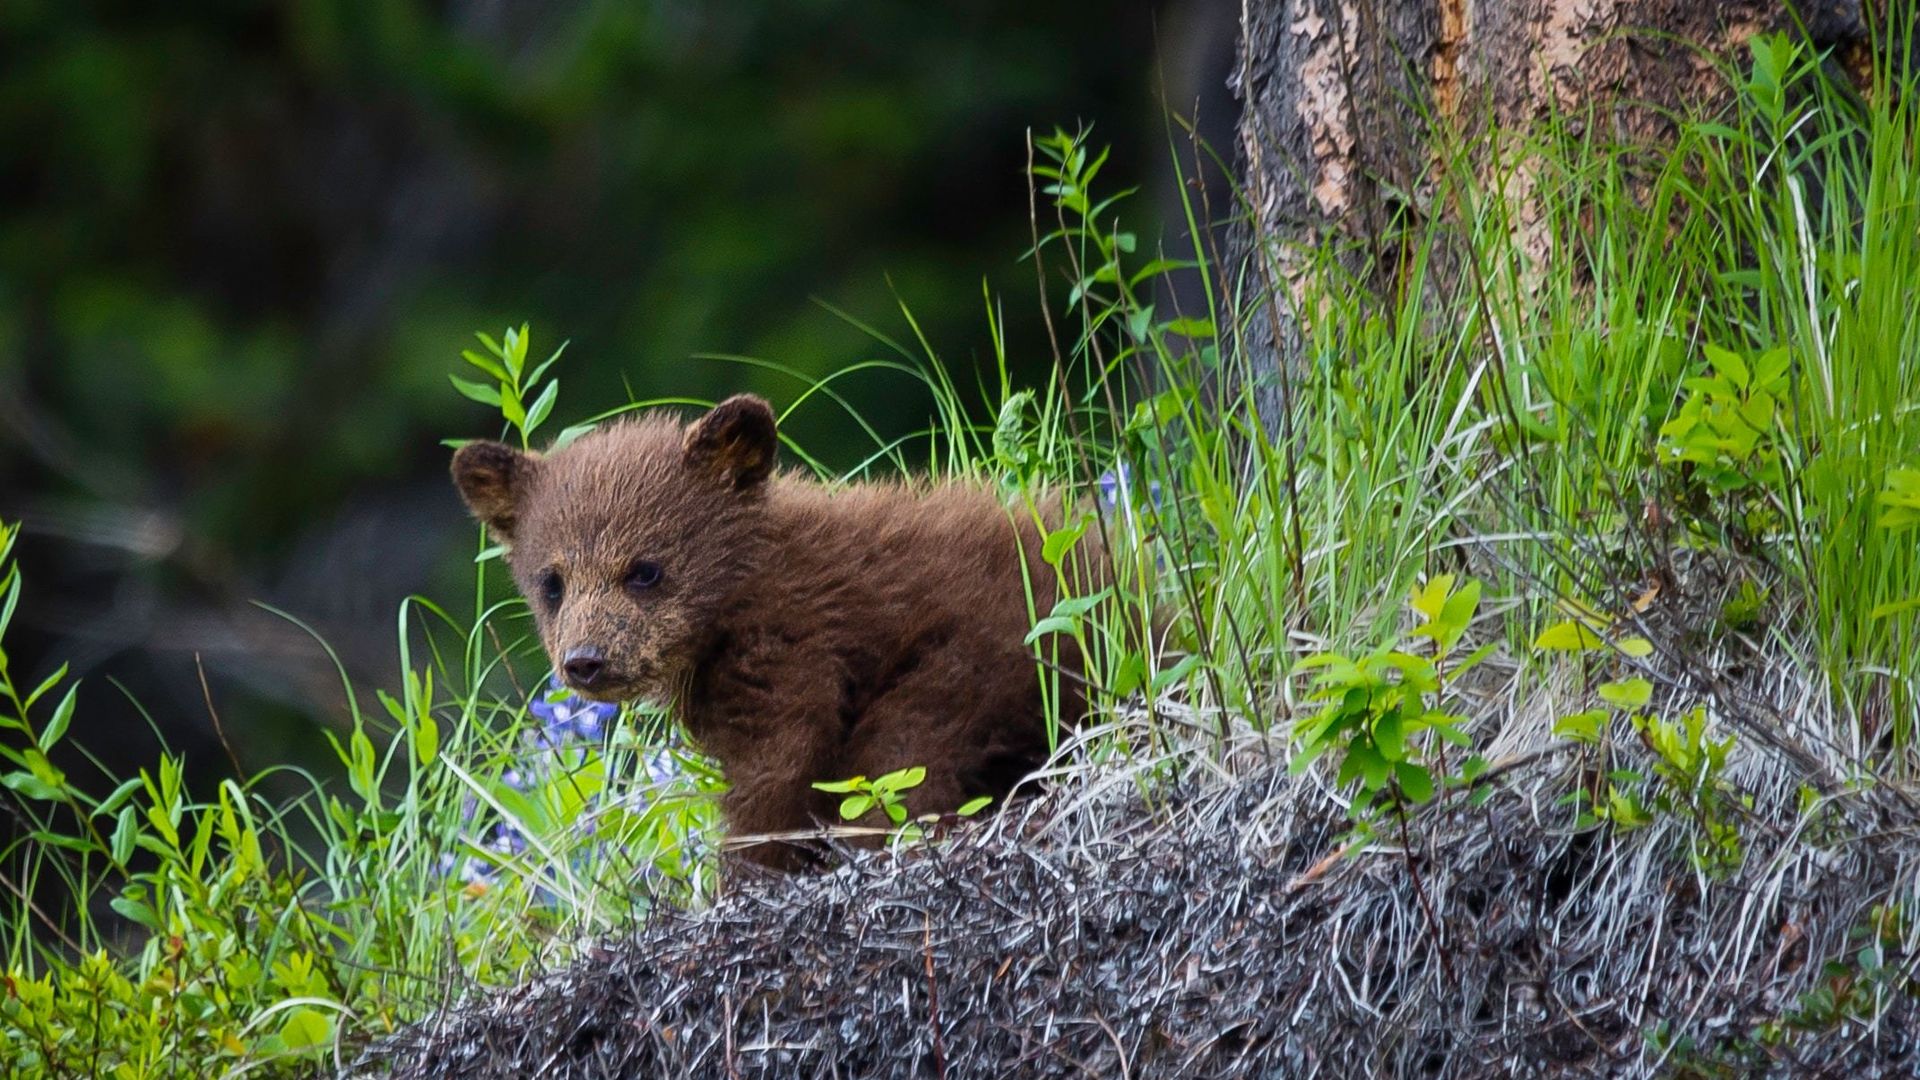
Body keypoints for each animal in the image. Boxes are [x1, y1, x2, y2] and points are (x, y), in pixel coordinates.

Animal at [450, 394, 1095, 870]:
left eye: (644, 569)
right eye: (551, 582)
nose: (586, 660)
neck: (741, 592)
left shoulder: (790, 644)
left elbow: (777, 768)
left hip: (978, 660)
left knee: (903, 757)